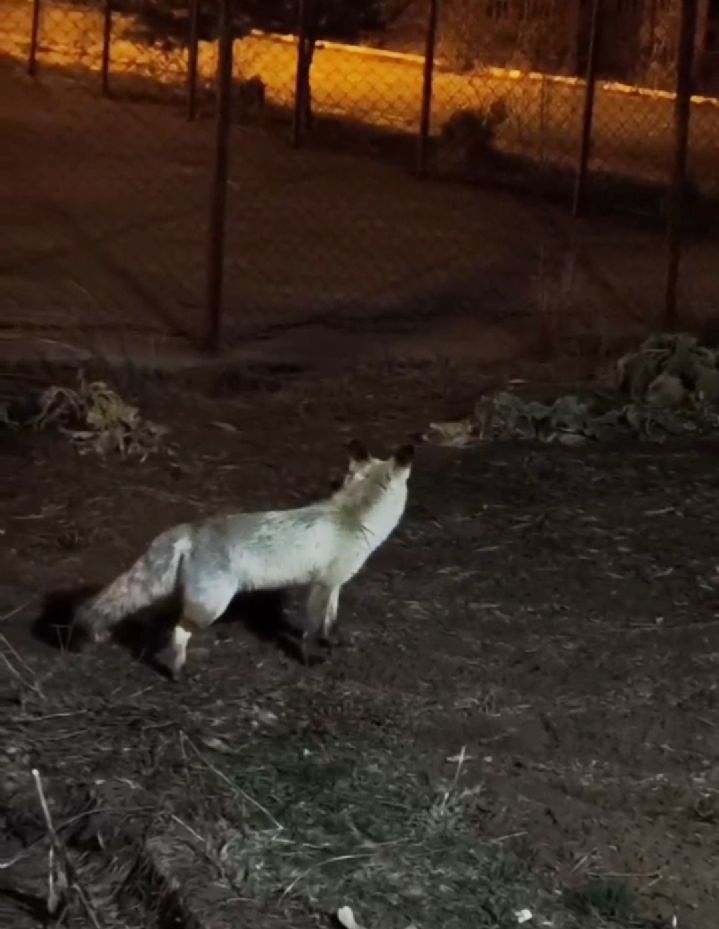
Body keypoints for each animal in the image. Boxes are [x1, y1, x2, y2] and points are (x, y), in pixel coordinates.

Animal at [75, 438, 414, 676]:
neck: (352, 515)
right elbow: (310, 628)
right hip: (212, 605)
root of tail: (191, 529)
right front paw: (309, 658)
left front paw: (331, 642)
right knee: (178, 632)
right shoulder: (321, 584)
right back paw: (177, 672)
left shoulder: (335, 583)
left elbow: (330, 621)